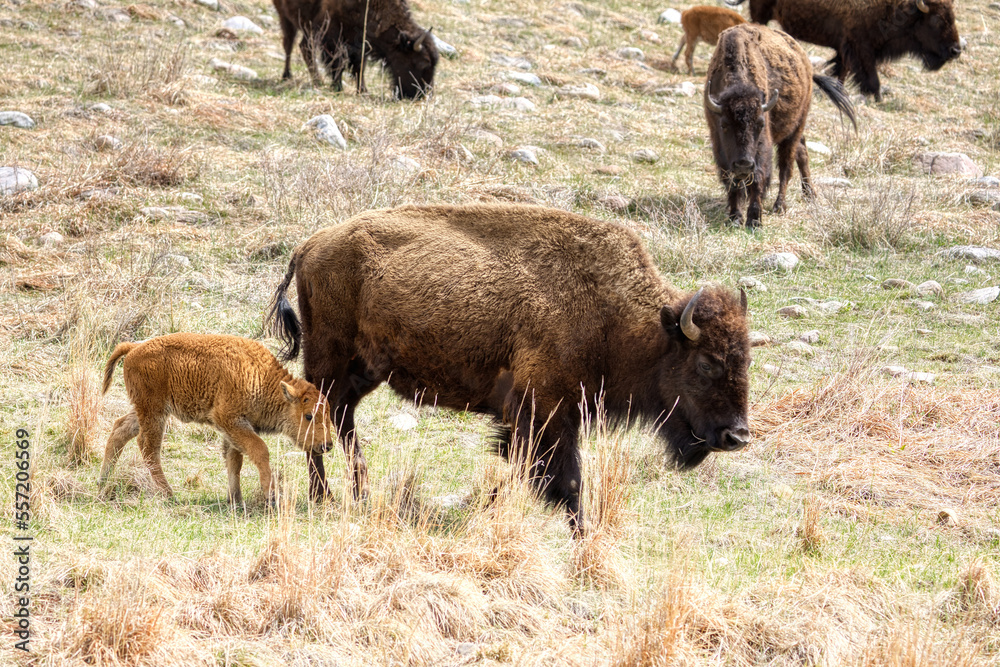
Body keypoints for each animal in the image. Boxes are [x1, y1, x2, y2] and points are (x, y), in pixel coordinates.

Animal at [101, 334, 336, 506]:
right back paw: (168, 493)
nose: (326, 445)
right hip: (154, 412)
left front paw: (235, 499)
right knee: (148, 446)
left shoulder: (234, 429)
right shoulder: (230, 420)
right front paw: (270, 497)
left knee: (120, 429)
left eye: (328, 415)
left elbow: (234, 460)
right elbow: (259, 450)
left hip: (143, 410)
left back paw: (102, 482)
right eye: (308, 415)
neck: (262, 379)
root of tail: (134, 348)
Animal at [270, 0, 438, 98]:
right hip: (290, 19)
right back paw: (304, 78)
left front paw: (362, 90)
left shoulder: (360, 41)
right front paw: (337, 88)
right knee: (294, 45)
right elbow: (338, 62)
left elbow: (359, 66)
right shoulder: (332, 34)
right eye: (423, 63)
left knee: (299, 46)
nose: (422, 95)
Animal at [270, 201, 752, 536]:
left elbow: (528, 469)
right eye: (707, 363)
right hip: (330, 360)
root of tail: (310, 246)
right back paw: (324, 496)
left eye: (746, 358)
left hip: (364, 371)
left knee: (342, 419)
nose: (738, 436)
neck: (616, 313)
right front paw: (579, 534)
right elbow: (565, 478)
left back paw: (359, 492)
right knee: (320, 417)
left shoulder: (548, 415)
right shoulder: (545, 410)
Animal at [704, 23, 860, 228]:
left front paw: (754, 221)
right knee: (802, 153)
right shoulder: (719, 146)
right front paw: (735, 218)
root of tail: (806, 64)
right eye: (724, 125)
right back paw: (809, 194)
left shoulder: (762, 148)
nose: (744, 164)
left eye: (761, 124)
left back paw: (780, 206)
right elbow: (731, 181)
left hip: (797, 127)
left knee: (787, 167)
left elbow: (760, 178)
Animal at [732, 0, 964, 100]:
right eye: (937, 18)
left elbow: (842, 70)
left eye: (953, 15)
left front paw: (837, 91)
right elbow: (872, 79)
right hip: (761, 12)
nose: (956, 50)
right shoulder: (861, 48)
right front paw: (877, 99)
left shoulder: (846, 49)